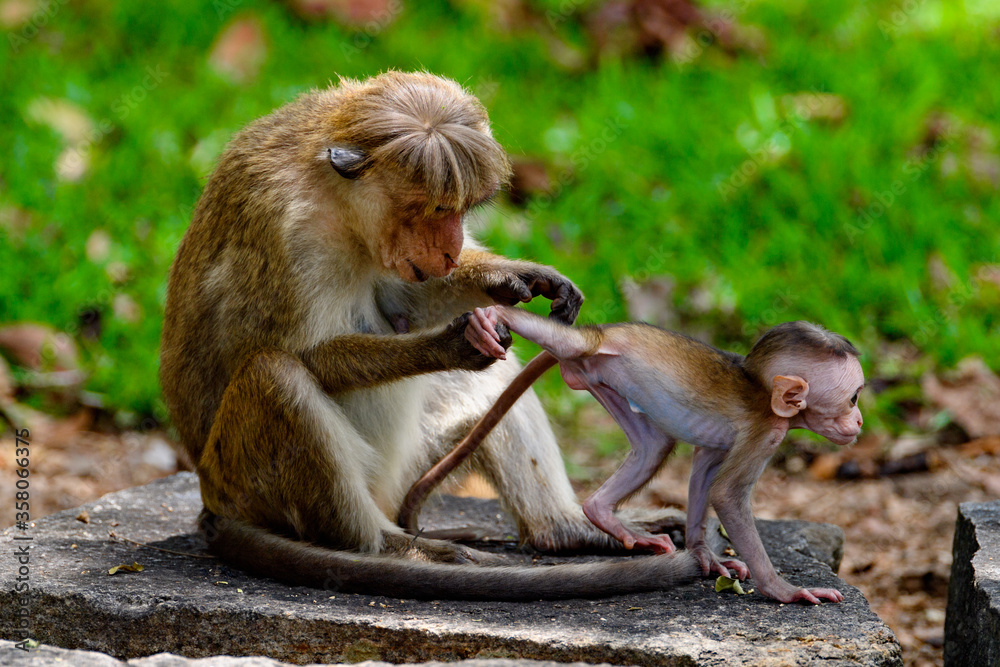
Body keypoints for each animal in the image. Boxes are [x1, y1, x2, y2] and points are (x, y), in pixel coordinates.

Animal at [160, 71, 715, 601]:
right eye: (433, 210)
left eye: (461, 209)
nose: (451, 250)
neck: (333, 200)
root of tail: (212, 501)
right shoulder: (285, 229)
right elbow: (301, 353)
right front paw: (449, 345)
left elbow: (410, 302)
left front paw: (515, 277)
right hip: (248, 480)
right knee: (275, 373)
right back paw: (393, 547)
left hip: (406, 462)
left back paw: (565, 529)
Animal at [403, 305, 864, 604]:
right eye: (853, 398)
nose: (859, 421)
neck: (763, 392)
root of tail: (604, 333)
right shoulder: (764, 433)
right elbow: (728, 495)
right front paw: (785, 591)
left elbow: (705, 469)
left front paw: (703, 553)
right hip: (587, 349)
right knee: (560, 338)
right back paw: (492, 315)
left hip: (600, 380)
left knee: (653, 448)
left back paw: (602, 513)